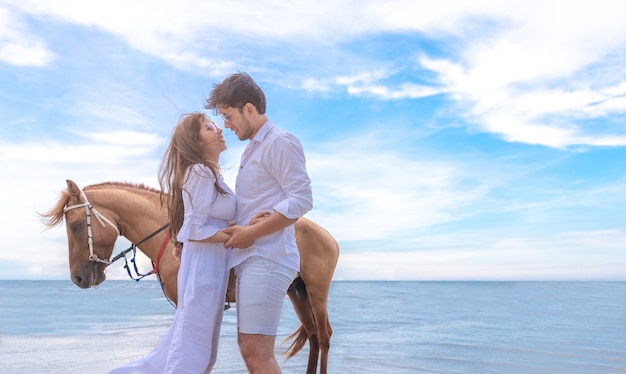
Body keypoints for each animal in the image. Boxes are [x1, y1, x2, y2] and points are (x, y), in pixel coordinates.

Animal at [40, 180, 338, 372]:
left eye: (77, 225)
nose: (77, 278)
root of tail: (329, 236)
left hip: (316, 293)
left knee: (324, 336)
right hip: (297, 294)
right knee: (313, 337)